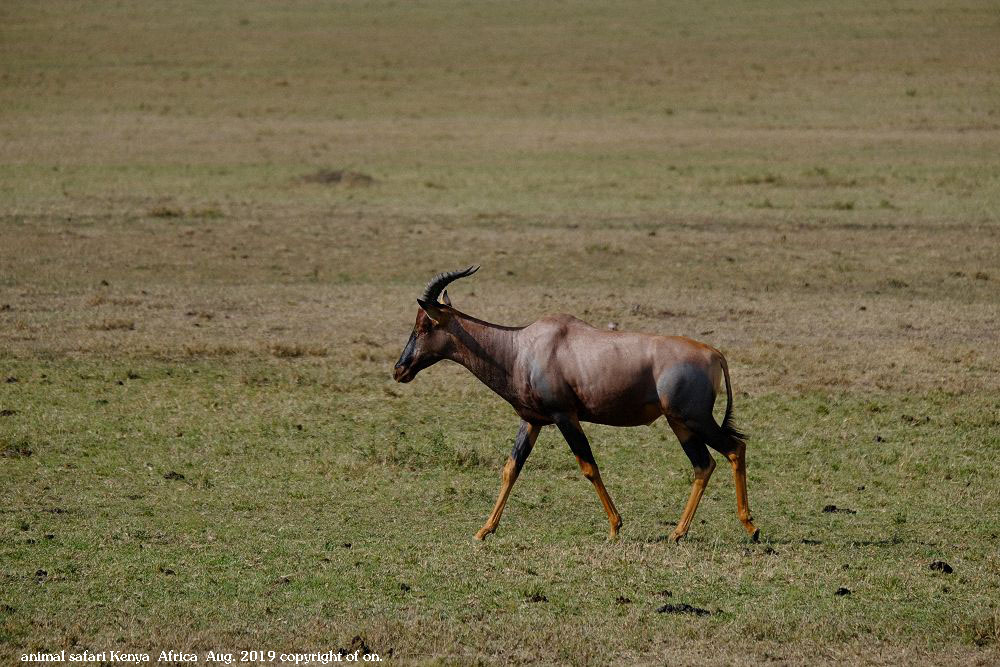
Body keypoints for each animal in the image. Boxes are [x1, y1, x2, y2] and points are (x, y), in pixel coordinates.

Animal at [390, 266, 756, 544]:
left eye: (425, 324)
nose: (399, 369)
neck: (522, 347)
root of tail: (713, 353)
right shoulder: (532, 420)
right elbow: (511, 468)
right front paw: (484, 530)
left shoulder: (565, 416)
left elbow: (588, 466)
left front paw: (614, 528)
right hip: (680, 423)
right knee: (704, 464)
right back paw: (678, 533)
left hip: (694, 419)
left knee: (734, 449)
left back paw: (750, 527)